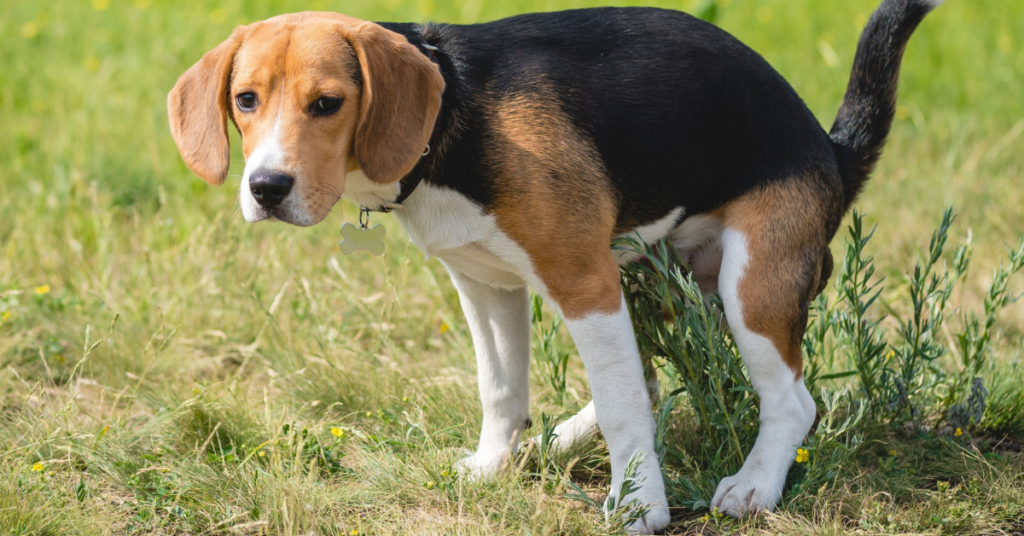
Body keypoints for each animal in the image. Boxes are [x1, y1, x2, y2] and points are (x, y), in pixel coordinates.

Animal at [165, 0, 942, 528]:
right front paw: (492, 466)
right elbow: (502, 390)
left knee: (787, 401)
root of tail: (831, 149)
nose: (266, 188)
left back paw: (754, 486)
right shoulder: (485, 286)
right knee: (647, 379)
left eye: (327, 104)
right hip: (655, 277)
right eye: (245, 100)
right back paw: (558, 439)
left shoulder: (582, 281)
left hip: (746, 284)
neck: (455, 119)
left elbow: (627, 411)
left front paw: (640, 507)